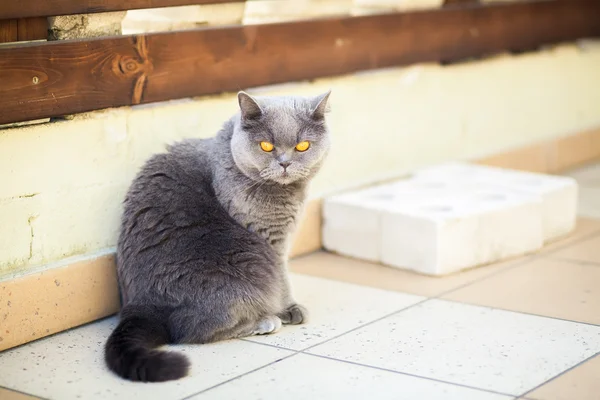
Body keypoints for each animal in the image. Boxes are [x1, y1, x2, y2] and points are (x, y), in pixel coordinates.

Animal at [101, 90, 330, 382]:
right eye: (266, 146)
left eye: (302, 146)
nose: (285, 163)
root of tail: (140, 305)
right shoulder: (270, 240)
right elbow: (282, 277)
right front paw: (289, 308)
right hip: (242, 273)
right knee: (190, 331)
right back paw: (265, 321)